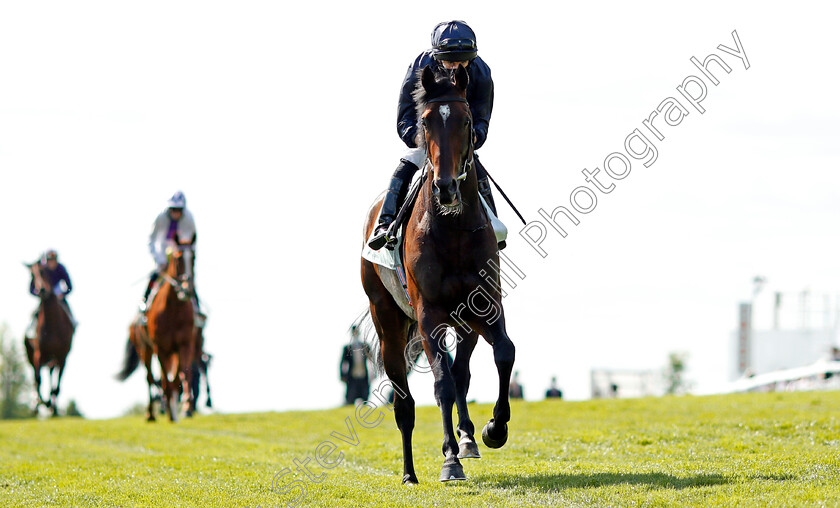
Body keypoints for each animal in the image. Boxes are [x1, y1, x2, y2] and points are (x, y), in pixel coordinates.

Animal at [24, 260, 75, 414]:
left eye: (42, 271)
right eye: (31, 275)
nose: (41, 290)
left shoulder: (62, 356)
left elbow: (56, 386)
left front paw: (52, 407)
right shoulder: (39, 353)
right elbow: (38, 379)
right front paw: (42, 403)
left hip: (54, 359)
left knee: (53, 378)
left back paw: (52, 406)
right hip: (32, 355)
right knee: (36, 379)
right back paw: (38, 405)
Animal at [116, 242, 195, 420]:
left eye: (194, 258)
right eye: (178, 259)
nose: (186, 289)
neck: (174, 309)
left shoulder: (184, 345)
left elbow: (181, 375)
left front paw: (182, 407)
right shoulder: (160, 347)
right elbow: (164, 380)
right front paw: (170, 410)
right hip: (144, 349)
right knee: (150, 377)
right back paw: (151, 412)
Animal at [362, 65, 520, 482]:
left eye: (465, 120)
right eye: (426, 121)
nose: (445, 187)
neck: (452, 230)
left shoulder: (484, 306)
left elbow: (504, 354)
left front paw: (494, 429)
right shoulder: (428, 313)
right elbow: (441, 384)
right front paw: (449, 460)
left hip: (462, 321)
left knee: (461, 372)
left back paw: (467, 439)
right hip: (387, 320)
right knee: (405, 400)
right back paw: (409, 472)